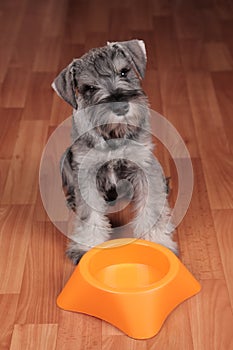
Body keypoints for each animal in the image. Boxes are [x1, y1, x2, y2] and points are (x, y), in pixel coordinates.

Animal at [52, 39, 177, 264]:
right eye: (89, 88)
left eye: (124, 72)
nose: (120, 107)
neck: (113, 134)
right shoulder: (86, 172)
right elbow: (89, 214)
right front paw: (86, 246)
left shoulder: (143, 166)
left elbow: (151, 208)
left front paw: (158, 243)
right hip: (66, 159)